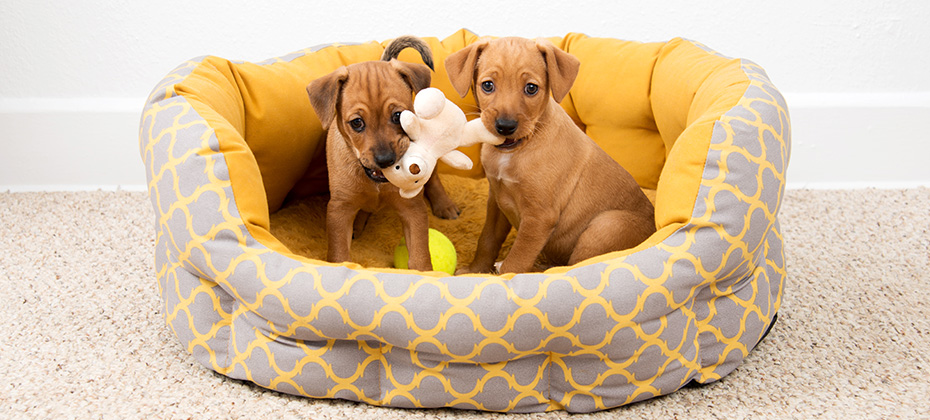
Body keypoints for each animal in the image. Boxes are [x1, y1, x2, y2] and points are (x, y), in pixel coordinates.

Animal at [308, 37, 454, 270]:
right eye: (356, 123)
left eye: (398, 116)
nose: (386, 160)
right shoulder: (339, 209)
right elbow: (339, 253)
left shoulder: (412, 208)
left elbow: (420, 254)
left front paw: (426, 272)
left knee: (434, 178)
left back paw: (445, 205)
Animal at [448, 37, 656, 274]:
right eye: (487, 85)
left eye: (531, 88)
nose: (505, 126)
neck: (517, 151)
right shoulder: (496, 202)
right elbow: (487, 239)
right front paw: (476, 270)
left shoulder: (539, 217)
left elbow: (517, 260)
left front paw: (504, 277)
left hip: (605, 226)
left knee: (577, 266)